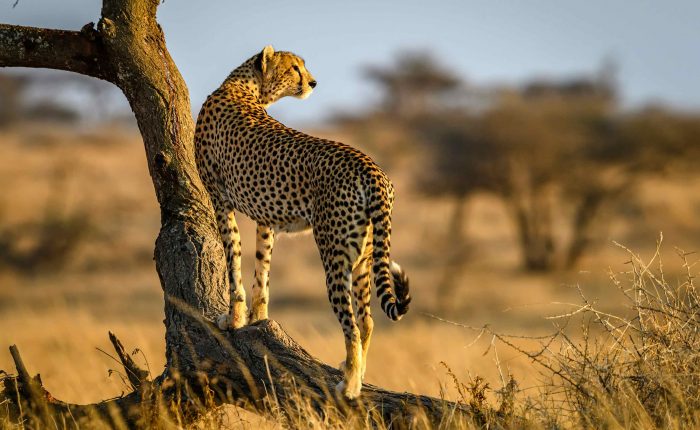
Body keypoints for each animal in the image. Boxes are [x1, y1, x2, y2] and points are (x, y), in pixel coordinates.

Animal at [193, 45, 410, 398]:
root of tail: (371, 167)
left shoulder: (220, 199)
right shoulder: (264, 217)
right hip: (365, 256)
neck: (243, 87)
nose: (313, 82)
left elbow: (233, 261)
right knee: (367, 320)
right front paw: (258, 317)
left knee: (350, 323)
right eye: (295, 67)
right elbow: (262, 268)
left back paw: (349, 384)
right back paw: (356, 371)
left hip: (334, 255)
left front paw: (233, 318)